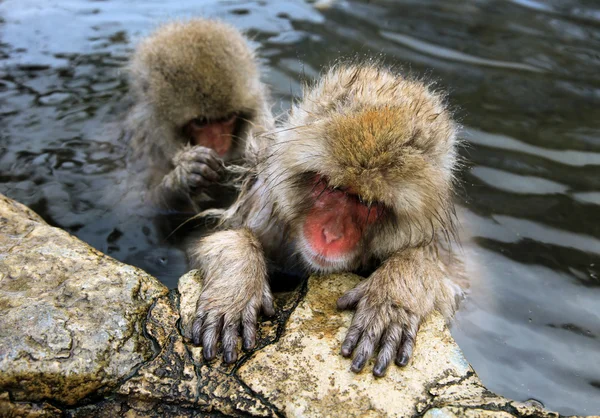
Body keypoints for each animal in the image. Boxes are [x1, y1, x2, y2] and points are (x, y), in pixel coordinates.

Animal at [188, 63, 464, 378]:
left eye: (367, 203)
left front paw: (394, 293)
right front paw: (235, 284)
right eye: (332, 188)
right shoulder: (266, 212)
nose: (330, 235)